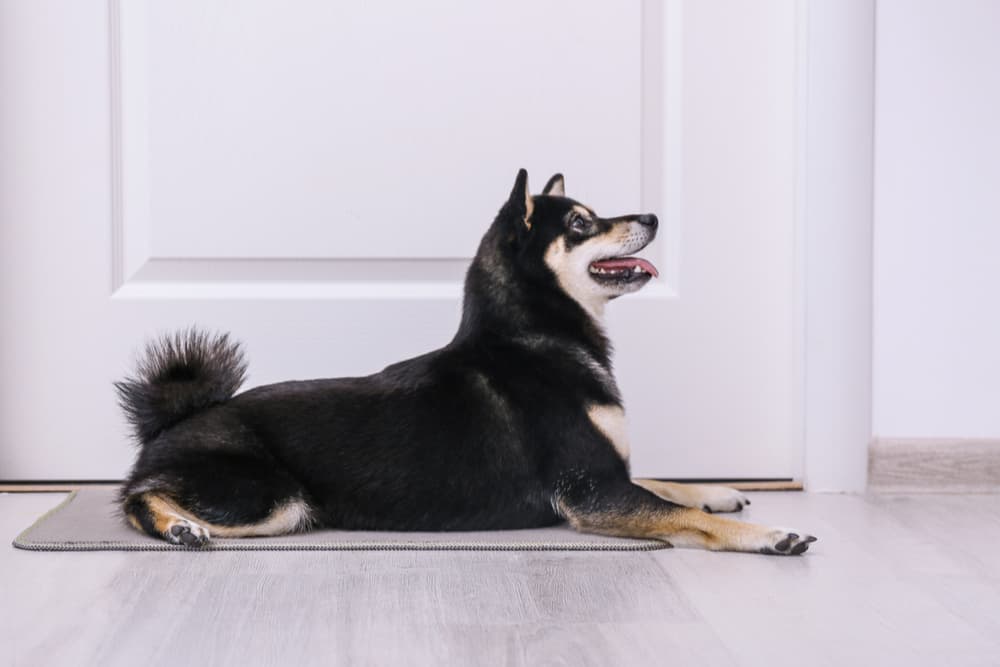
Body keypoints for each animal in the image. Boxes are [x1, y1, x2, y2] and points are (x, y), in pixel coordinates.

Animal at [119, 170, 820, 556]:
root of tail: (171, 424)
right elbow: (674, 513)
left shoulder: (608, 473)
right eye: (582, 224)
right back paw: (177, 528)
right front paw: (771, 536)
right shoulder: (591, 492)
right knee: (136, 499)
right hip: (276, 499)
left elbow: (667, 484)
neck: (537, 341)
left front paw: (719, 492)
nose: (650, 215)